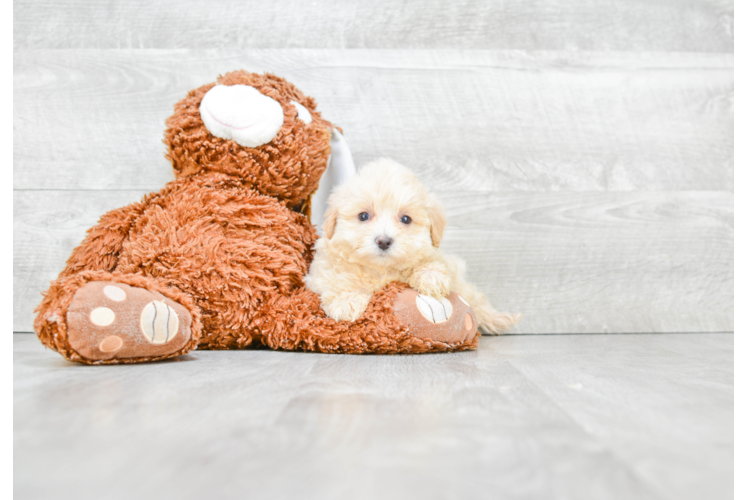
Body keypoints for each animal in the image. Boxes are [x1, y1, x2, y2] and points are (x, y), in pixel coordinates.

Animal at [304, 158, 520, 334]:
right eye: (363, 216)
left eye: (406, 219)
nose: (384, 241)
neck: (381, 270)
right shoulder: (322, 271)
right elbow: (336, 277)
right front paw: (346, 301)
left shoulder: (438, 258)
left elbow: (431, 263)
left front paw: (431, 276)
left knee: (474, 297)